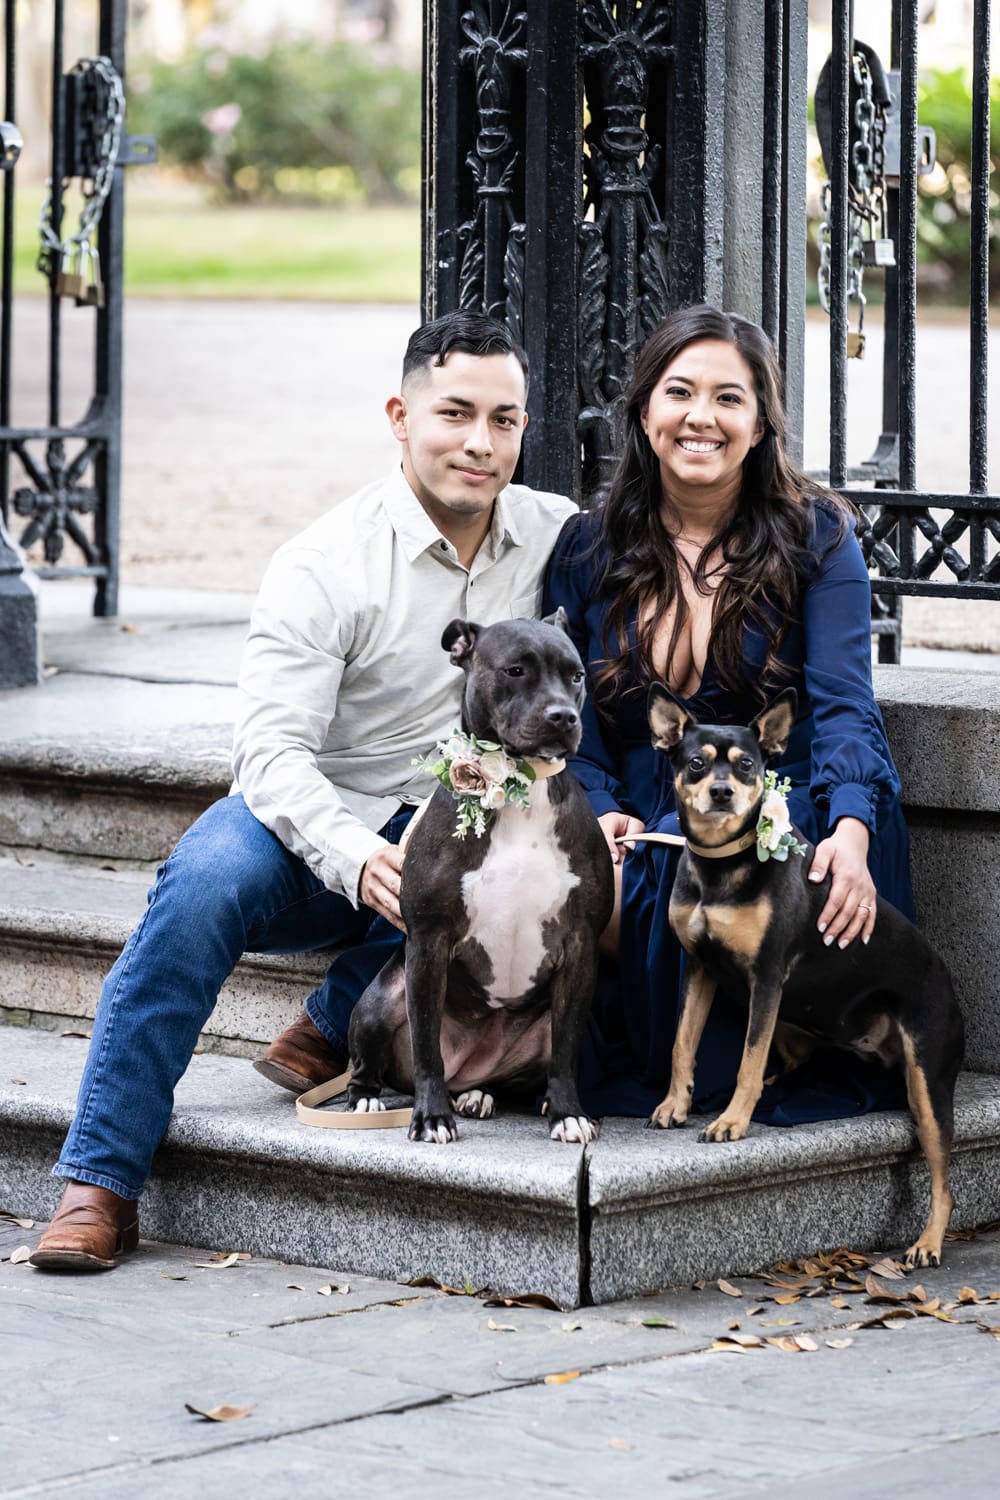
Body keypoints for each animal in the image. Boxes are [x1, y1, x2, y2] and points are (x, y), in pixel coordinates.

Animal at [644, 687, 965, 1272]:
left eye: (748, 765)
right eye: (696, 763)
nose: (722, 792)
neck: (721, 866)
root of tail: (947, 984)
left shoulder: (768, 978)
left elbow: (747, 1060)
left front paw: (732, 1122)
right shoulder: (700, 968)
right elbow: (683, 1043)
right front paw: (675, 1104)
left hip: (927, 1084)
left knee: (944, 1179)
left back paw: (928, 1243)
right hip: (797, 1030)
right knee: (793, 1062)